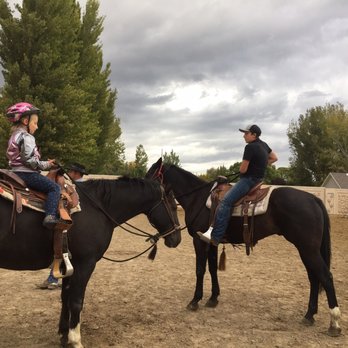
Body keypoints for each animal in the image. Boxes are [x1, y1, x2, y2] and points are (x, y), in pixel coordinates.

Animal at [0, 178, 181, 346]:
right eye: (173, 206)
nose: (177, 238)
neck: (98, 207)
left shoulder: (68, 264)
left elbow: (65, 297)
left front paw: (64, 335)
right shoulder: (85, 264)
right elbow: (76, 301)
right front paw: (75, 341)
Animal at [147, 158, 342, 338]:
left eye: (151, 174)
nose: (143, 186)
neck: (198, 198)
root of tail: (313, 198)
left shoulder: (199, 241)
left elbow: (200, 270)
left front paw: (195, 301)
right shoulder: (212, 242)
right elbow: (212, 269)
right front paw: (213, 299)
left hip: (308, 249)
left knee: (326, 277)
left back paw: (334, 324)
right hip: (306, 250)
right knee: (314, 278)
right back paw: (309, 315)